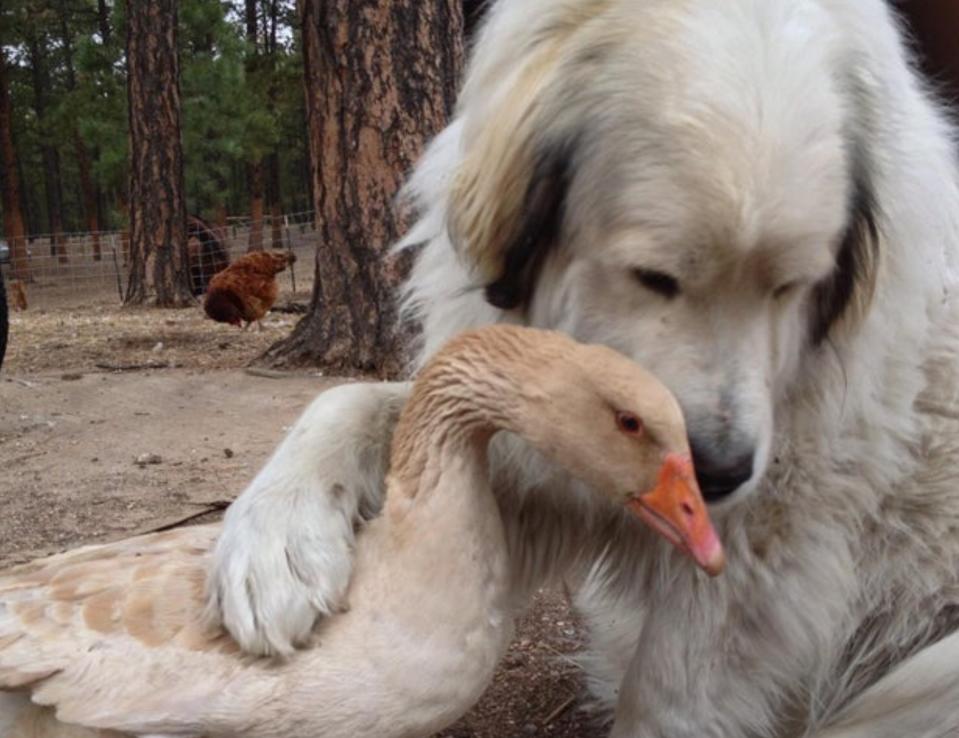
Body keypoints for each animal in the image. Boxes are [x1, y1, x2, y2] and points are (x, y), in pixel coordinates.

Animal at [208, 2, 959, 732]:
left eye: (790, 287)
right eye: (654, 277)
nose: (719, 474)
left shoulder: (759, 547)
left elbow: (666, 696)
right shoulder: (533, 458)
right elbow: (350, 401)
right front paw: (275, 538)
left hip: (925, 673)